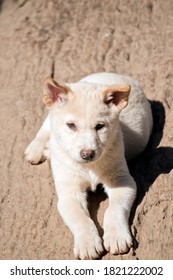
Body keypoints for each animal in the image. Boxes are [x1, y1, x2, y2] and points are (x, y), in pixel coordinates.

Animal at [24, 71, 153, 258]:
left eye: (100, 126)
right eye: (71, 125)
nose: (87, 154)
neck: (88, 167)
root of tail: (110, 74)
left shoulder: (122, 181)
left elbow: (114, 209)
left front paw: (116, 236)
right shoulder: (69, 192)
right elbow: (80, 218)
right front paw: (88, 243)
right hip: (51, 114)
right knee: (46, 127)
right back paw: (37, 149)